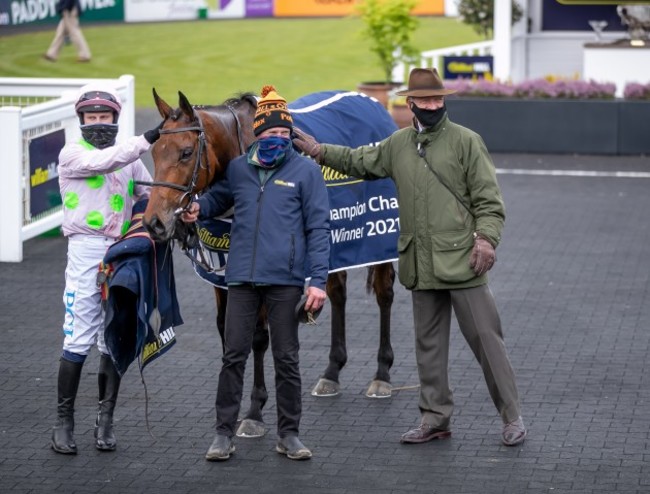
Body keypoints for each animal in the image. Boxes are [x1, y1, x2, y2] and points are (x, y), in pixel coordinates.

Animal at [142, 89, 394, 436]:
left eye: (186, 152)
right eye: (154, 152)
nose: (154, 222)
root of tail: (373, 103)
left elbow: (259, 337)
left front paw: (254, 411)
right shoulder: (224, 275)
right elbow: (227, 332)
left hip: (381, 233)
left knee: (384, 294)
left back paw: (382, 374)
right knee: (338, 292)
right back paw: (332, 371)